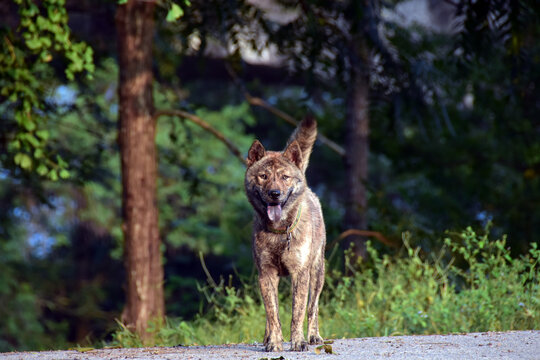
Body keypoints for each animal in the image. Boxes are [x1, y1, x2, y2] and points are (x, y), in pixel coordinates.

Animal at [245, 116, 324, 352]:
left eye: (285, 177)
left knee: (313, 307)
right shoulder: (266, 274)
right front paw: (274, 342)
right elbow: (273, 314)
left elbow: (298, 313)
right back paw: (267, 338)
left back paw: (314, 336)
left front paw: (298, 341)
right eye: (263, 176)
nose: (275, 193)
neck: (279, 232)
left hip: (317, 273)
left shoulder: (300, 273)